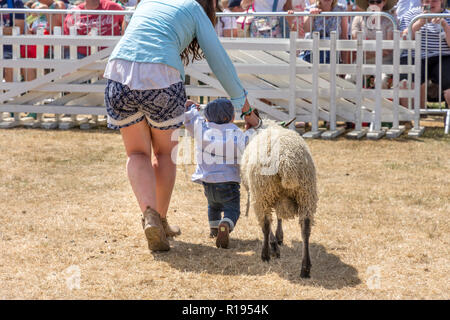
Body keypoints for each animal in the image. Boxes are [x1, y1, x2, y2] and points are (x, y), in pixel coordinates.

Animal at [241, 119, 318, 278]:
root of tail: (286, 160)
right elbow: (280, 216)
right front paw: (279, 237)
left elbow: (270, 222)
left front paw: (275, 244)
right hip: (307, 193)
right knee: (306, 228)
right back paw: (305, 267)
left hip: (261, 192)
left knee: (265, 224)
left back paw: (265, 255)